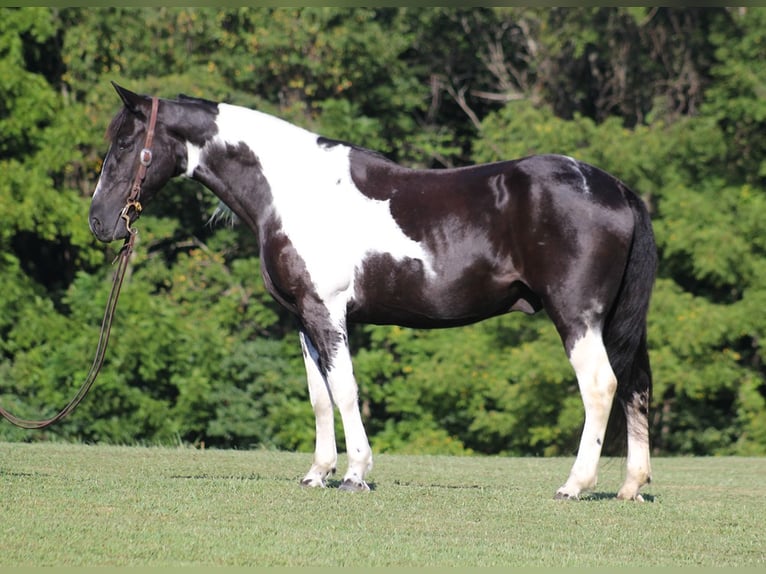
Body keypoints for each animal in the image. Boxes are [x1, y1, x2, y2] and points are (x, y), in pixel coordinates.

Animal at [87, 83, 656, 502]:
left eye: (124, 143)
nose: (98, 221)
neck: (294, 191)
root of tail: (616, 189)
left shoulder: (327, 312)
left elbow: (345, 390)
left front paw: (355, 474)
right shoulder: (303, 318)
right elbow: (319, 396)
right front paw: (317, 473)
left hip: (576, 316)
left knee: (601, 386)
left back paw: (575, 486)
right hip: (616, 321)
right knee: (636, 385)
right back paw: (631, 487)